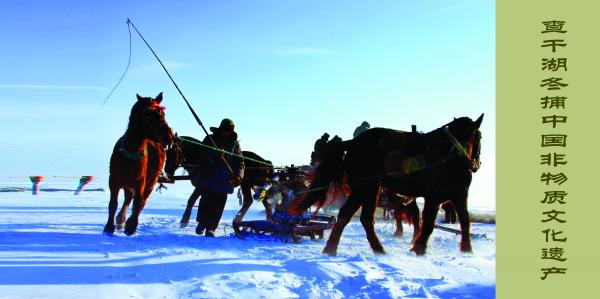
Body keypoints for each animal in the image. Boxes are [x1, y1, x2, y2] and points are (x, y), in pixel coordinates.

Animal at [102, 94, 173, 237]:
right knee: (128, 197)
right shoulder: (114, 181)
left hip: (151, 181)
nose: (169, 137)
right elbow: (113, 203)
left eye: (163, 114)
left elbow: (138, 202)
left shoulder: (141, 181)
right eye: (149, 114)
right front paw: (109, 227)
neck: (130, 154)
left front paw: (131, 225)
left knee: (141, 200)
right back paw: (121, 219)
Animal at [290, 114, 482, 255]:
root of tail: (353, 143)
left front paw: (465, 249)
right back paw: (373, 248)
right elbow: (433, 222)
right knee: (359, 216)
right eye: (480, 136)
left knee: (355, 216)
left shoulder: (451, 195)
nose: (476, 164)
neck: (451, 153)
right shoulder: (442, 195)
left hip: (367, 189)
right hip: (367, 187)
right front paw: (420, 247)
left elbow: (461, 219)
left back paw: (337, 248)